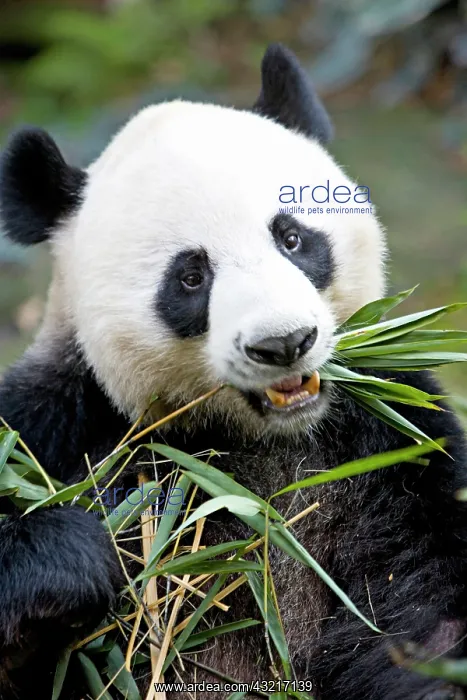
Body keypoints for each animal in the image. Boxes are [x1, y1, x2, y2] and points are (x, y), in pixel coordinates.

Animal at [0, 43, 466, 700]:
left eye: (292, 237)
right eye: (191, 277)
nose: (284, 343)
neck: (260, 441)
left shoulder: (396, 446)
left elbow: (428, 613)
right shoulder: (61, 423)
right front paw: (63, 568)